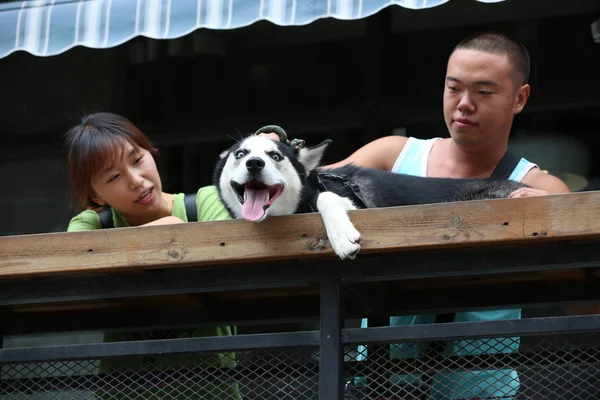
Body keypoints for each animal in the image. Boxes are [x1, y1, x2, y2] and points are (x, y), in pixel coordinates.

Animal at [214, 134, 524, 260]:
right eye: (240, 154)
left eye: (275, 156)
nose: (254, 163)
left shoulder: (356, 202)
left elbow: (327, 198)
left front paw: (341, 237)